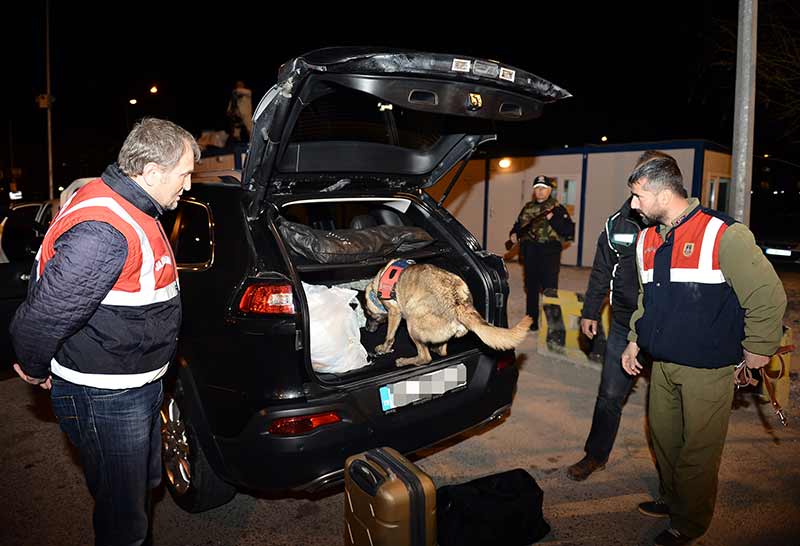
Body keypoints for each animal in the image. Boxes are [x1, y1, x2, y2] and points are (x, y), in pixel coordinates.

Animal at [362, 258, 532, 366]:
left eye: (368, 314)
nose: (367, 329)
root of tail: (459, 305)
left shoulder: (394, 313)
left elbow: (389, 337)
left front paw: (383, 349)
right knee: (442, 350)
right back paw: (434, 347)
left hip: (412, 323)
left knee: (425, 358)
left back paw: (405, 361)